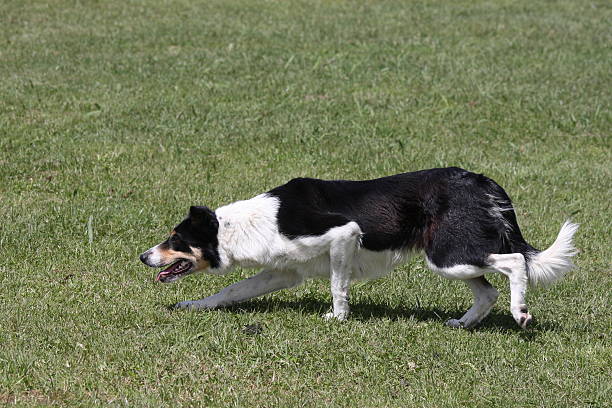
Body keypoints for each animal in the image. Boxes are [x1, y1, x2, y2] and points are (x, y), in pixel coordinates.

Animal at [140, 166, 580, 328]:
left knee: (514, 262)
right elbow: (228, 291)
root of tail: (480, 180)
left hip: (449, 255)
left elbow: (338, 286)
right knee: (488, 290)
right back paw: (464, 324)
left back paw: (520, 312)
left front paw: (338, 319)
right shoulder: (283, 272)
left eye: (176, 240)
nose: (143, 257)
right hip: (451, 259)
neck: (246, 225)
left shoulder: (343, 235)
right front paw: (193, 306)